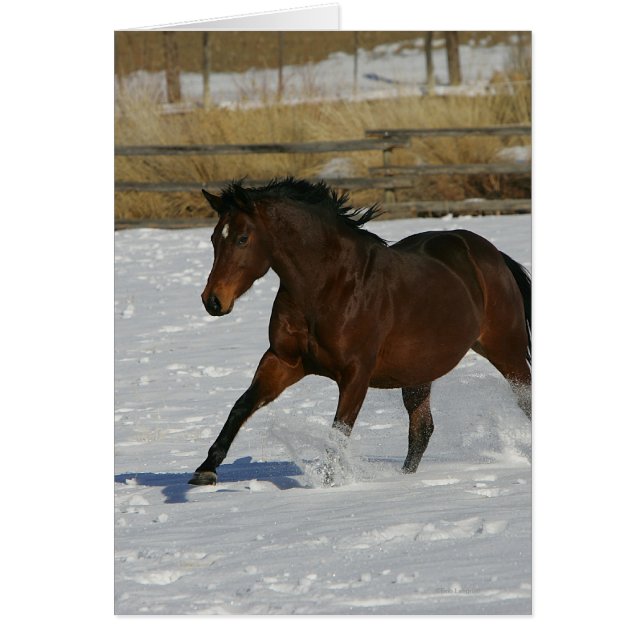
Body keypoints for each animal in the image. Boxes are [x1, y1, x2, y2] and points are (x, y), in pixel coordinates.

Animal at [188, 177, 531, 486]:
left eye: (243, 238)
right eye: (214, 238)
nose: (213, 301)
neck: (328, 285)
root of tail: (491, 254)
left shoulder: (355, 374)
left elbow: (339, 432)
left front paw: (330, 484)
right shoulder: (283, 361)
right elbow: (241, 406)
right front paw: (206, 470)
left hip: (507, 351)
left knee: (525, 401)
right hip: (418, 373)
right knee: (422, 430)